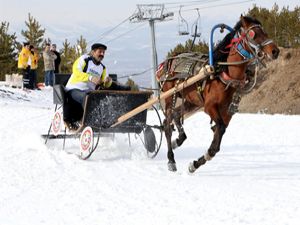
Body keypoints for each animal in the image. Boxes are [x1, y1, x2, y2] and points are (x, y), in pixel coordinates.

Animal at [158, 15, 280, 171]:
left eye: (264, 31)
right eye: (254, 34)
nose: (275, 51)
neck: (224, 72)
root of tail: (168, 61)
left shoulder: (226, 111)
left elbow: (219, 136)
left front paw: (197, 162)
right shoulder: (209, 106)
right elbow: (220, 128)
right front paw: (200, 159)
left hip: (191, 100)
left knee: (175, 114)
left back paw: (179, 139)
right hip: (169, 95)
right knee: (167, 124)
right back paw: (171, 159)